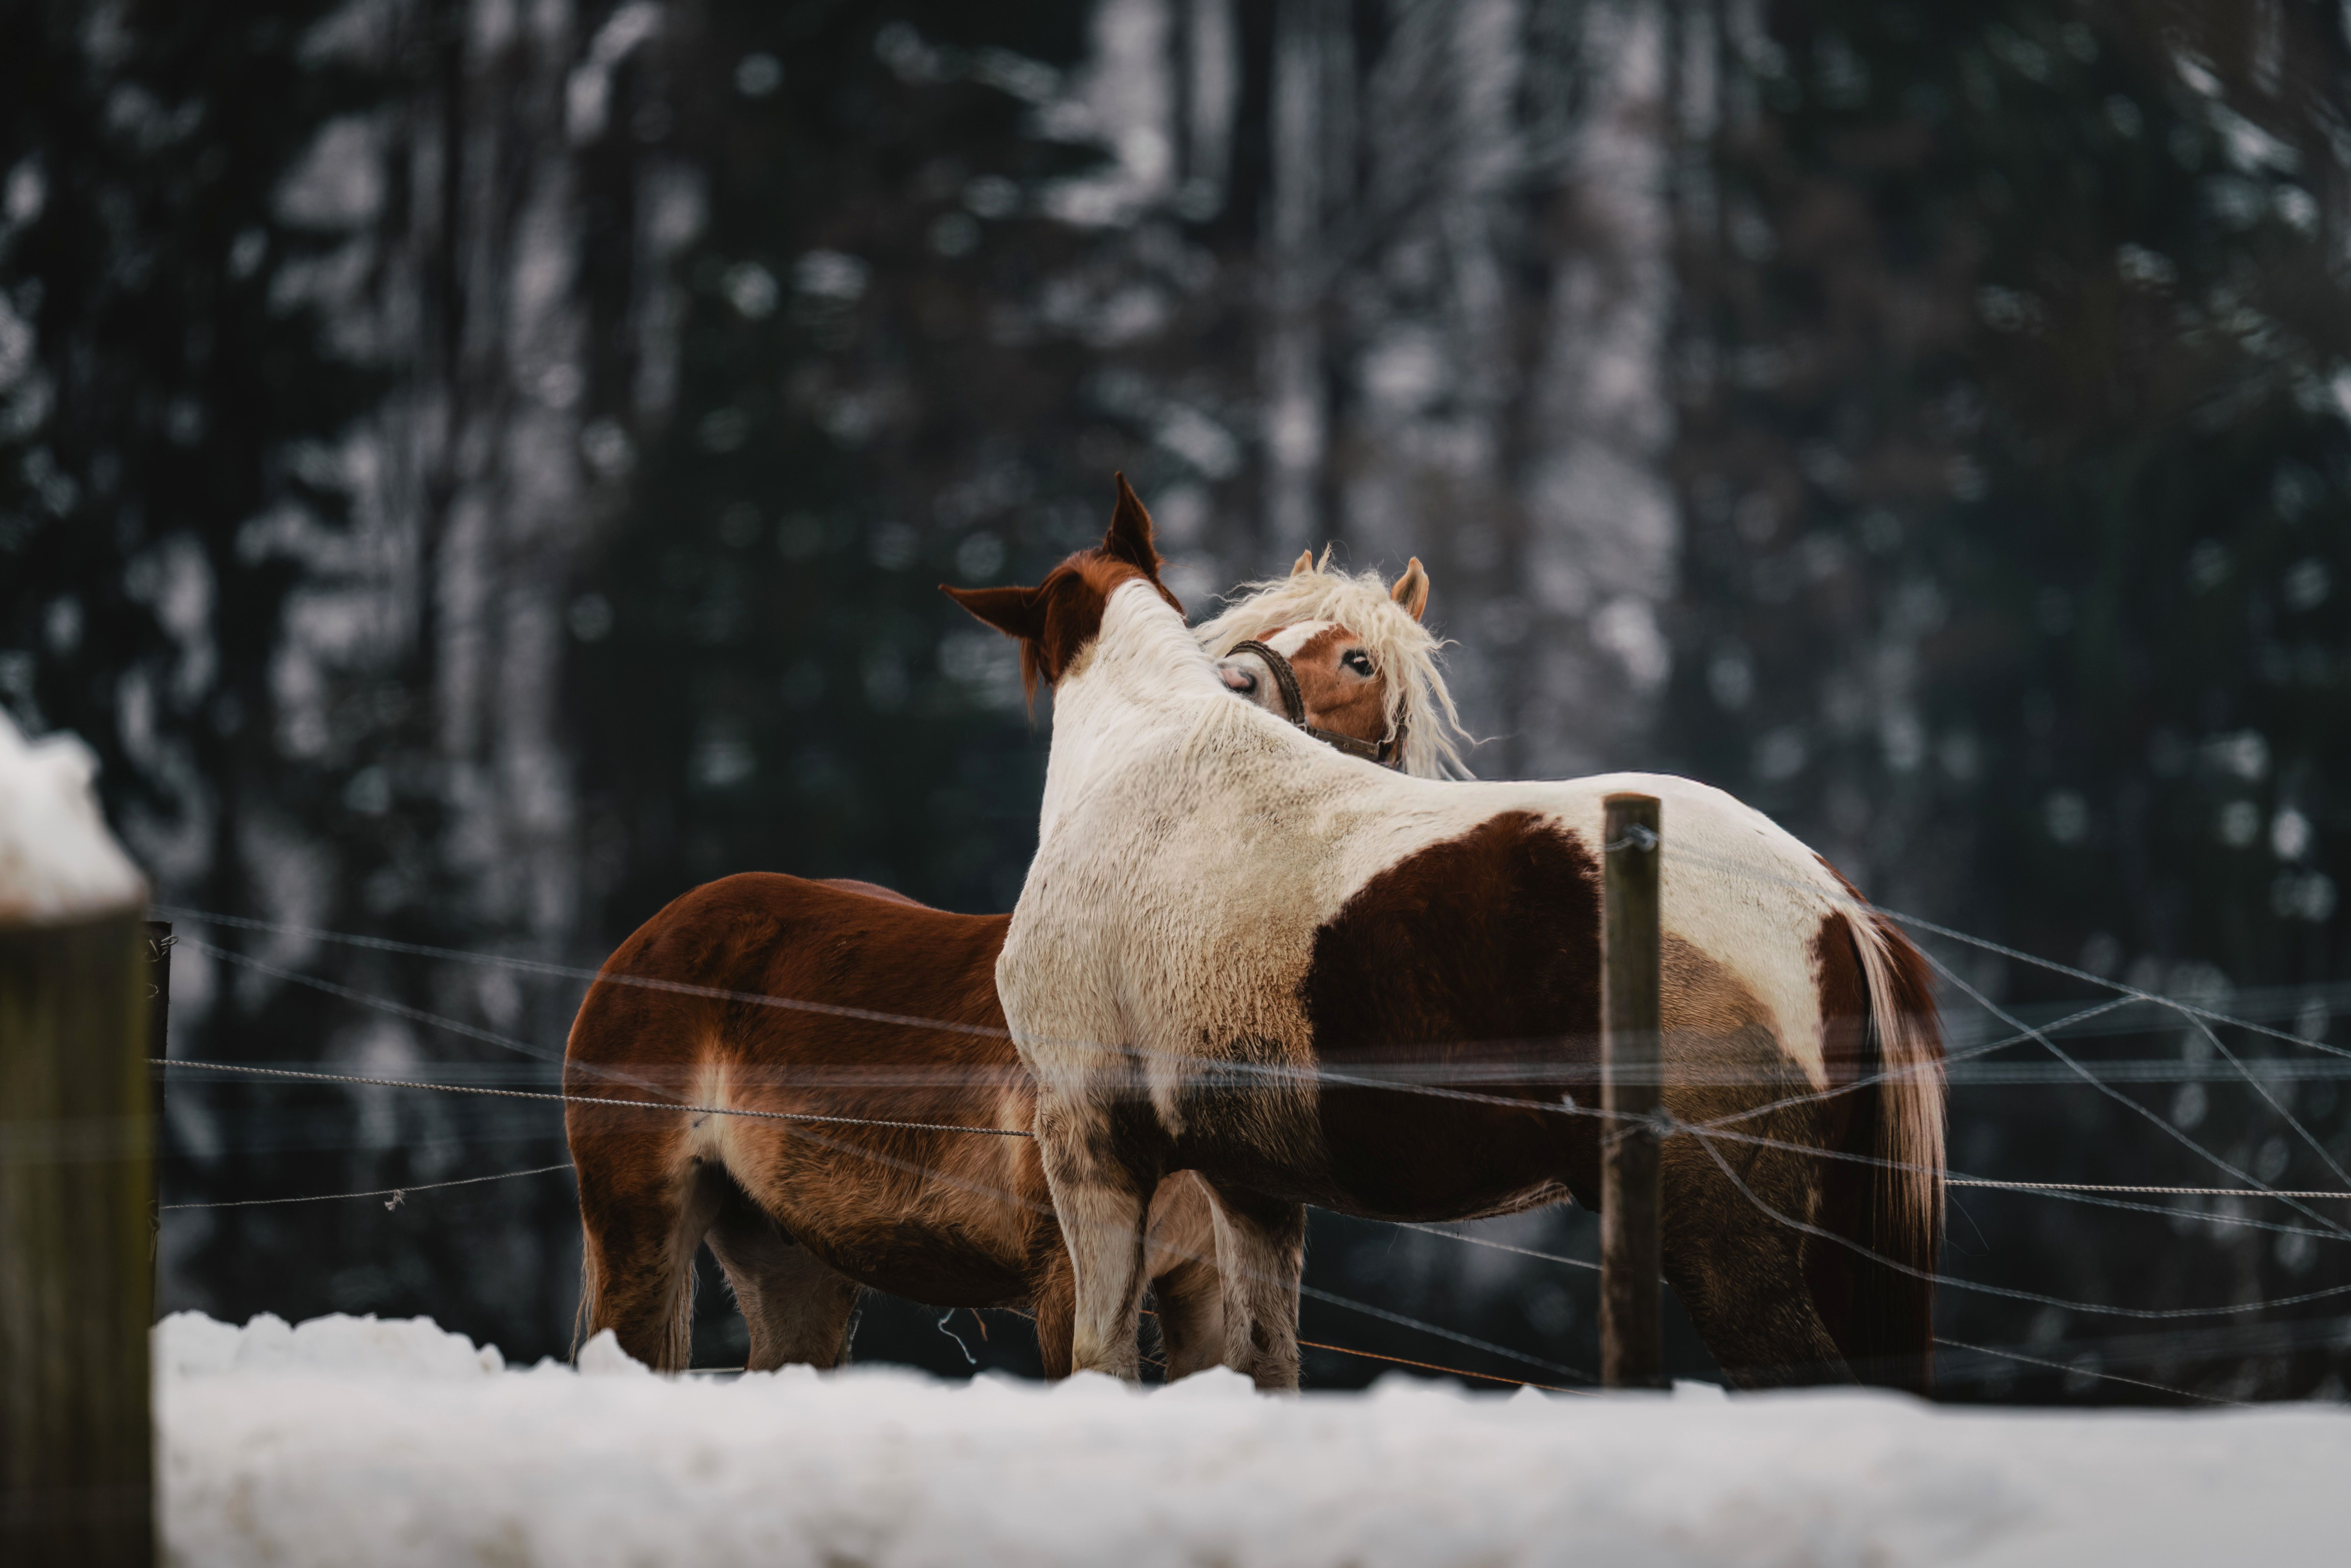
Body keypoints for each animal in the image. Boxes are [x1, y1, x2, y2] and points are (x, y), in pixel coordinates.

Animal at [564, 552, 1472, 1379]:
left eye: (1358, 660)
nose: (1233, 685)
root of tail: (657, 933)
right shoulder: (1067, 1270)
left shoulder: (1202, 1286)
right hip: (641, 1229)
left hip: (790, 1260)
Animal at [947, 476, 1947, 1393]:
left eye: (1358, 659)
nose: (1244, 680)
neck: (1149, 755)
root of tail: (1831, 904)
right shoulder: (1252, 1186)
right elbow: (1264, 1361)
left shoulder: (1093, 1143)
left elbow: (1101, 1358)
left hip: (1725, 1245)